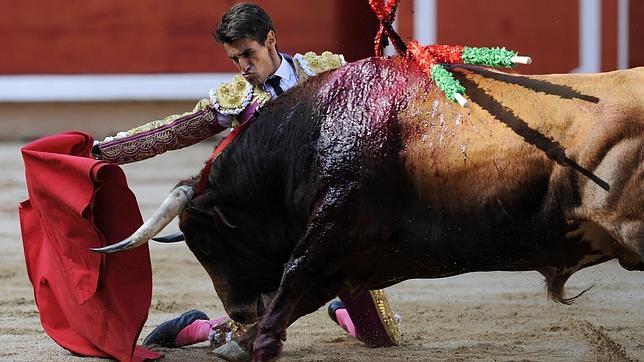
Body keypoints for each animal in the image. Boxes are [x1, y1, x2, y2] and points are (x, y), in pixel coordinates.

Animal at [95, 57, 644, 362]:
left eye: (206, 242)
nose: (237, 311)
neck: (311, 133)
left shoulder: (334, 225)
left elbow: (291, 279)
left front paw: (257, 342)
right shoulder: (349, 257)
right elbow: (295, 295)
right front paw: (236, 339)